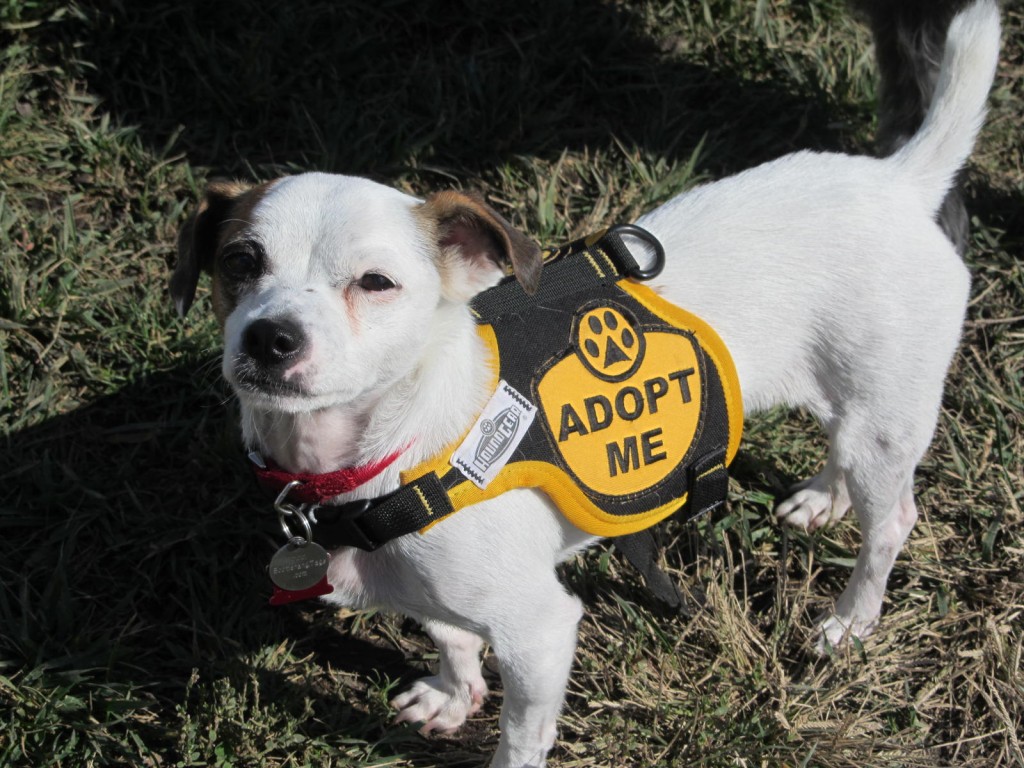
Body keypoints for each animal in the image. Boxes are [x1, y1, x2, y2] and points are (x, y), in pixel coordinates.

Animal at [169, 3, 999, 765]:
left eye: (376, 283)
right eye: (239, 261)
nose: (270, 337)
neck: (383, 458)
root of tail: (900, 179)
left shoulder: (539, 632)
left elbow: (519, 737)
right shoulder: (428, 589)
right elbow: (449, 635)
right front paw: (452, 693)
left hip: (885, 416)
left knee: (891, 520)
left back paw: (853, 617)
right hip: (857, 407)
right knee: (847, 457)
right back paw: (826, 497)